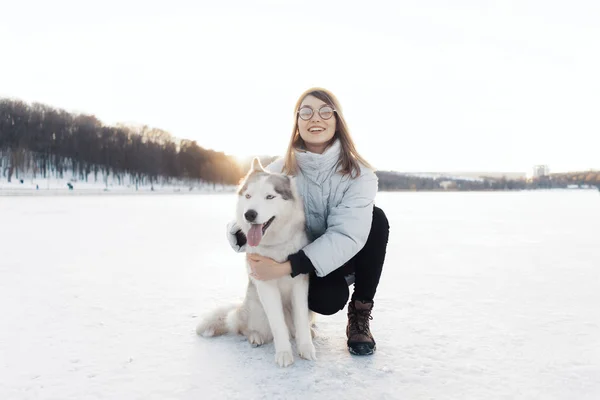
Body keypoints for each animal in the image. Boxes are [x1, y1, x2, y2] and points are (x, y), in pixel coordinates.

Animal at [198, 158, 318, 368]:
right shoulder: (266, 285)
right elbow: (277, 325)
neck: (276, 247)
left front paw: (306, 347)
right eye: (248, 196)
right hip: (256, 310)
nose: (250, 214)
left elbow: (301, 320)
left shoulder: (300, 284)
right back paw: (255, 336)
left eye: (270, 196)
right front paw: (284, 353)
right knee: (244, 327)